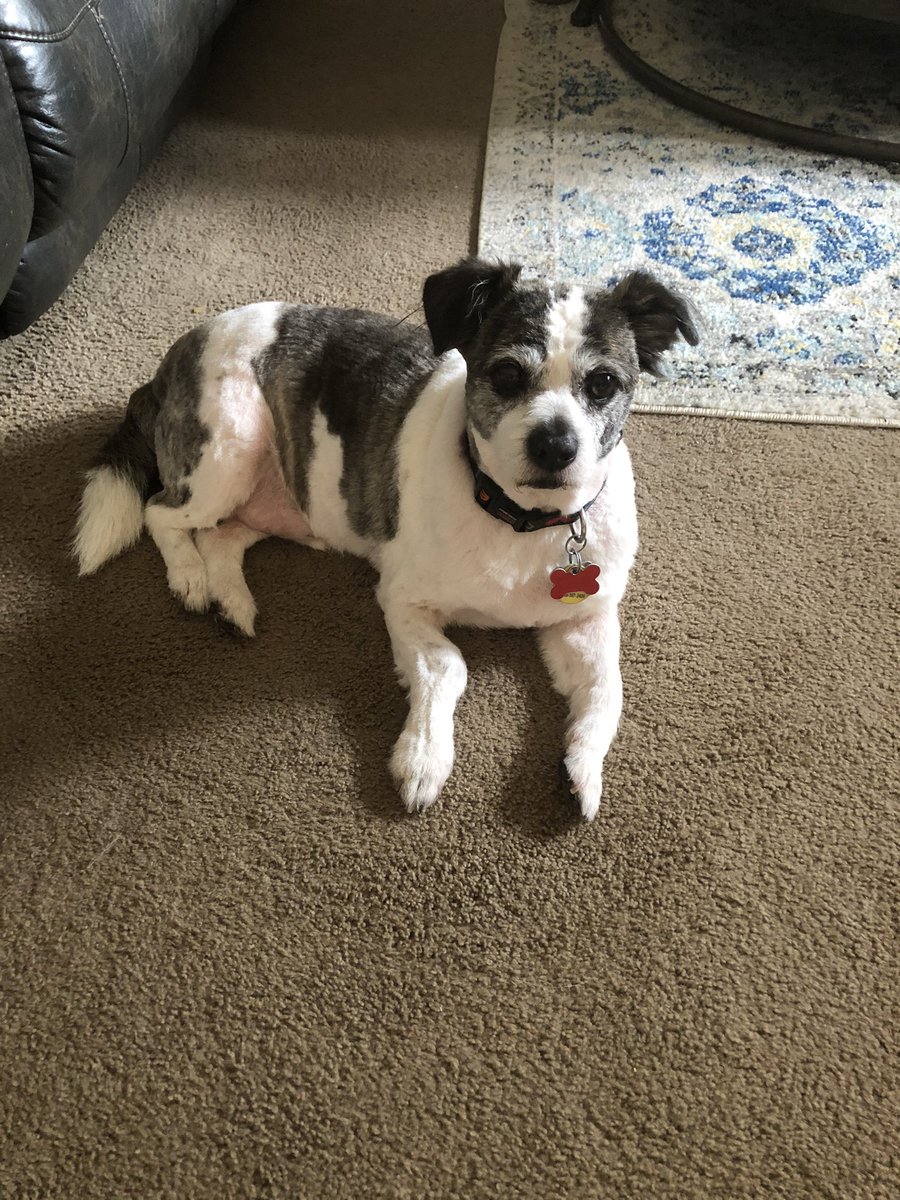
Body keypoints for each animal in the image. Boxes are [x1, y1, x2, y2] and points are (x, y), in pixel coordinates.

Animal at [74, 258, 700, 820]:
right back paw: (189, 578)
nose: (555, 445)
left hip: (269, 493)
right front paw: (423, 758)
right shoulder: (403, 601)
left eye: (603, 383)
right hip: (228, 452)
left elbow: (607, 692)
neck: (523, 519)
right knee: (161, 513)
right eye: (506, 375)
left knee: (223, 538)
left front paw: (582, 770)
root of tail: (172, 360)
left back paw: (232, 601)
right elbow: (448, 667)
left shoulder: (585, 620)